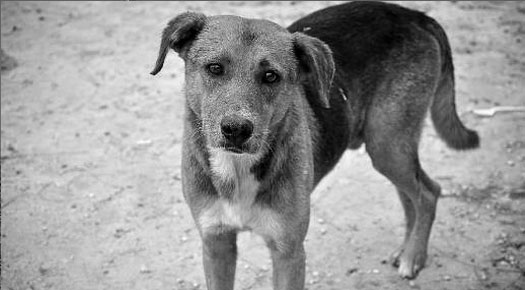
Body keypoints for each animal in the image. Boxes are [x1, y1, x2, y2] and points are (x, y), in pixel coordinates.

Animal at [150, 1, 478, 288]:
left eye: (271, 76)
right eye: (215, 68)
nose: (236, 130)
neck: (237, 169)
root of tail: (413, 14)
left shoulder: (289, 252)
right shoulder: (216, 244)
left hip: (388, 143)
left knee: (428, 192)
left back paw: (414, 256)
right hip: (390, 147)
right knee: (412, 194)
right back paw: (406, 249)